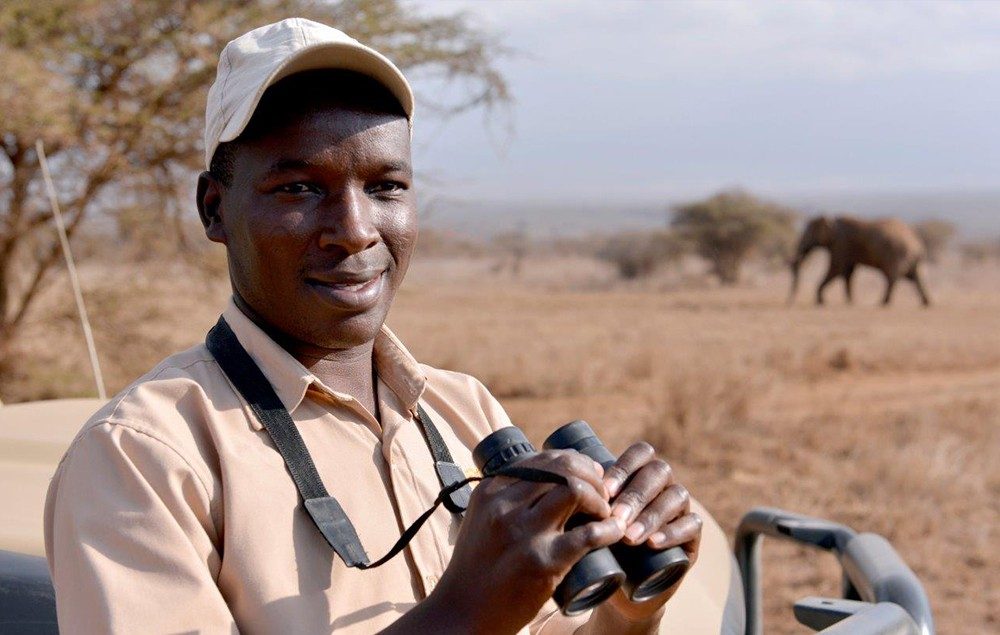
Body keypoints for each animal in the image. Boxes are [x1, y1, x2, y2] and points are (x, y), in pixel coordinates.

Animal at [789, 215, 930, 306]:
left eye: (808, 233)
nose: (789, 303)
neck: (832, 221)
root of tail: (918, 245)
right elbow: (847, 273)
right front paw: (850, 302)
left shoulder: (841, 244)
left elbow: (837, 269)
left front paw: (821, 302)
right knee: (916, 278)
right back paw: (926, 303)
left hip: (896, 254)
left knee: (892, 278)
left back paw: (882, 303)